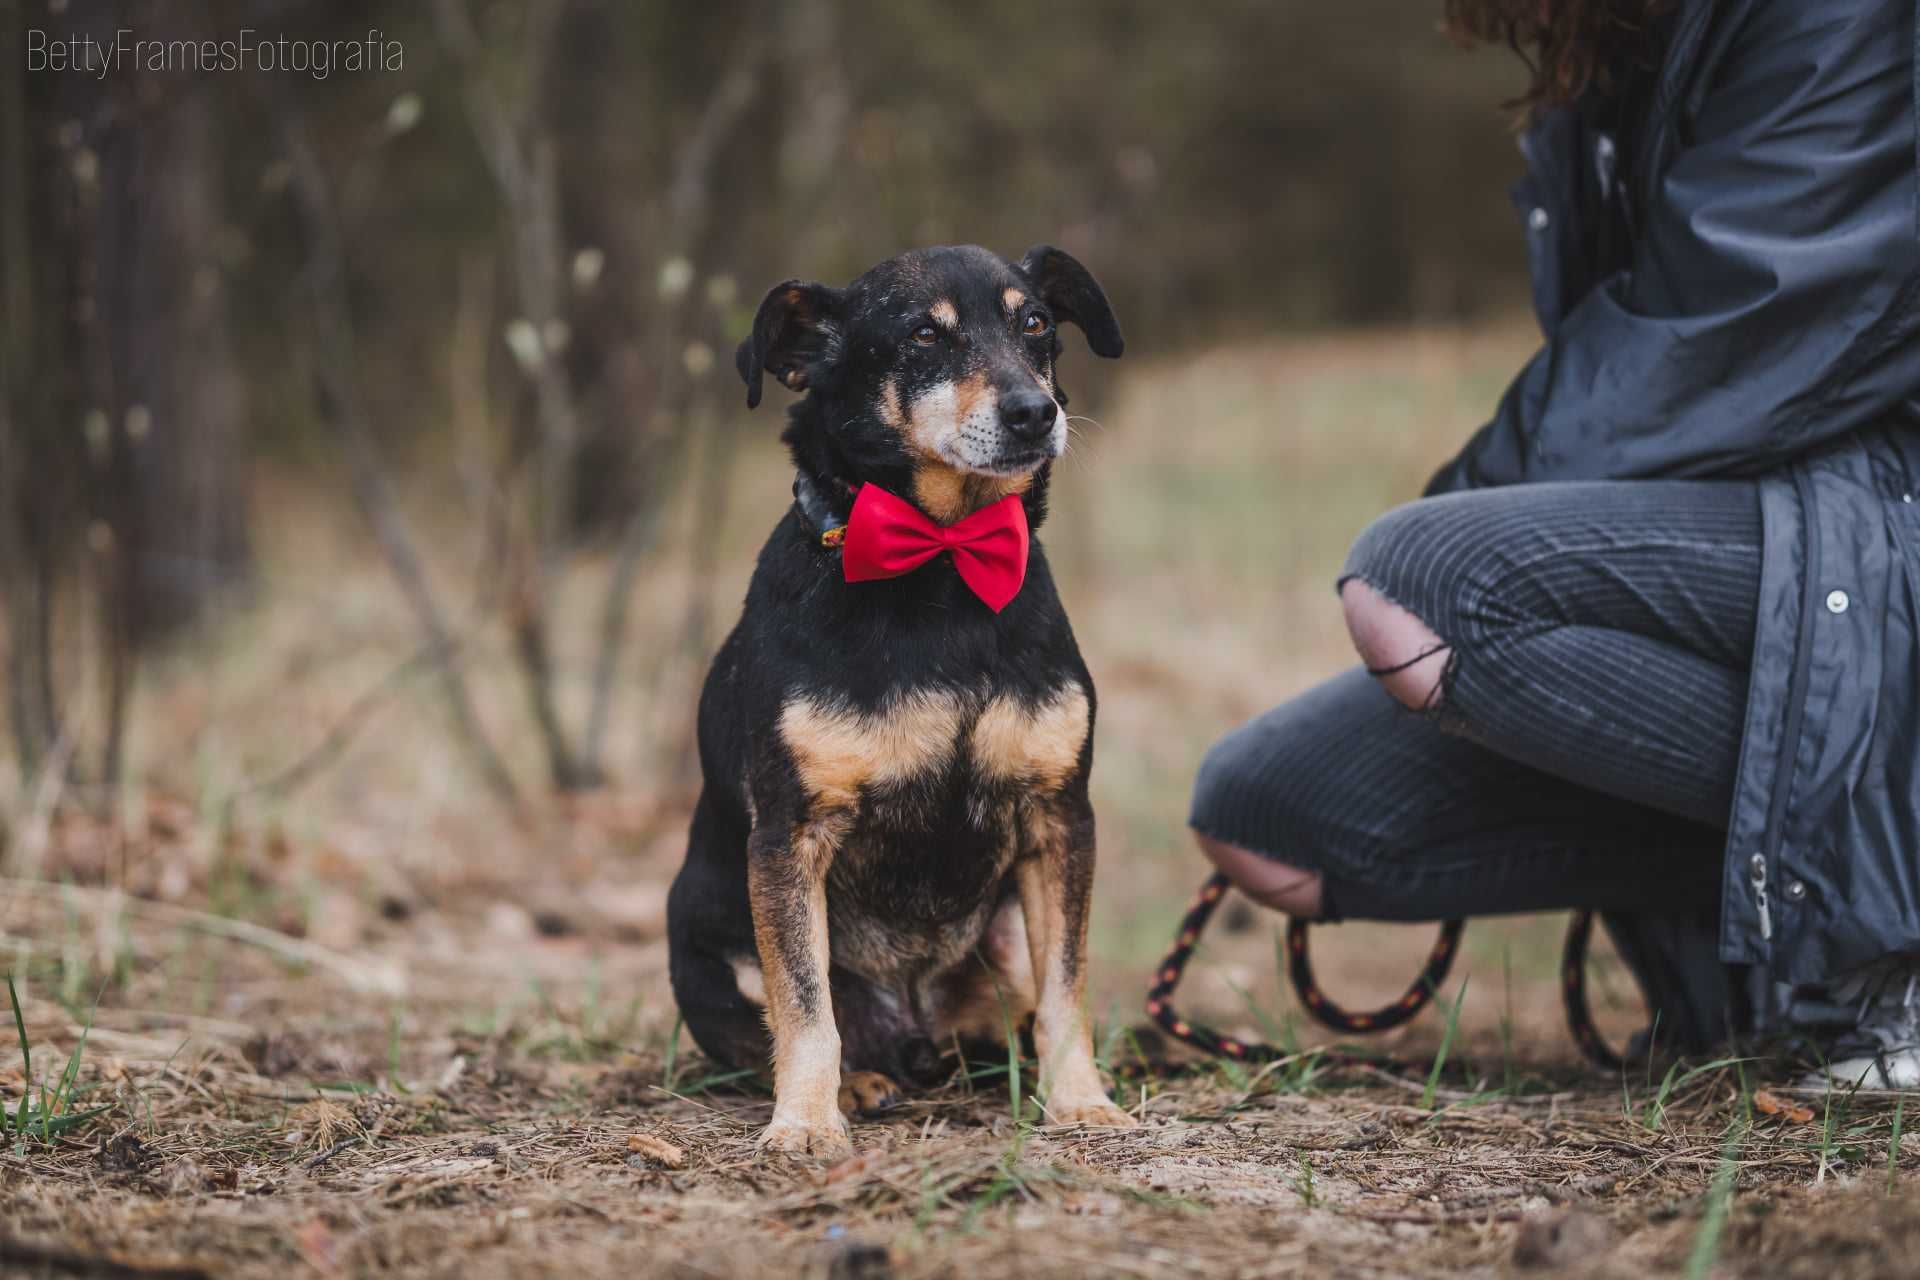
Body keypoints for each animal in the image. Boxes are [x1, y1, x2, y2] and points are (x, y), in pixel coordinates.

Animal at [668, 242, 1128, 1159]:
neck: (942, 564)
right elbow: (803, 1004)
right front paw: (806, 1122)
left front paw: (1080, 1102)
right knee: (786, 1022)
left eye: (1036, 324)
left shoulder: (1060, 817)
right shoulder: (791, 834)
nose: (1036, 413)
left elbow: (1068, 989)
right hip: (708, 945)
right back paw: (861, 1084)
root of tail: (916, 1033)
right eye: (923, 335)